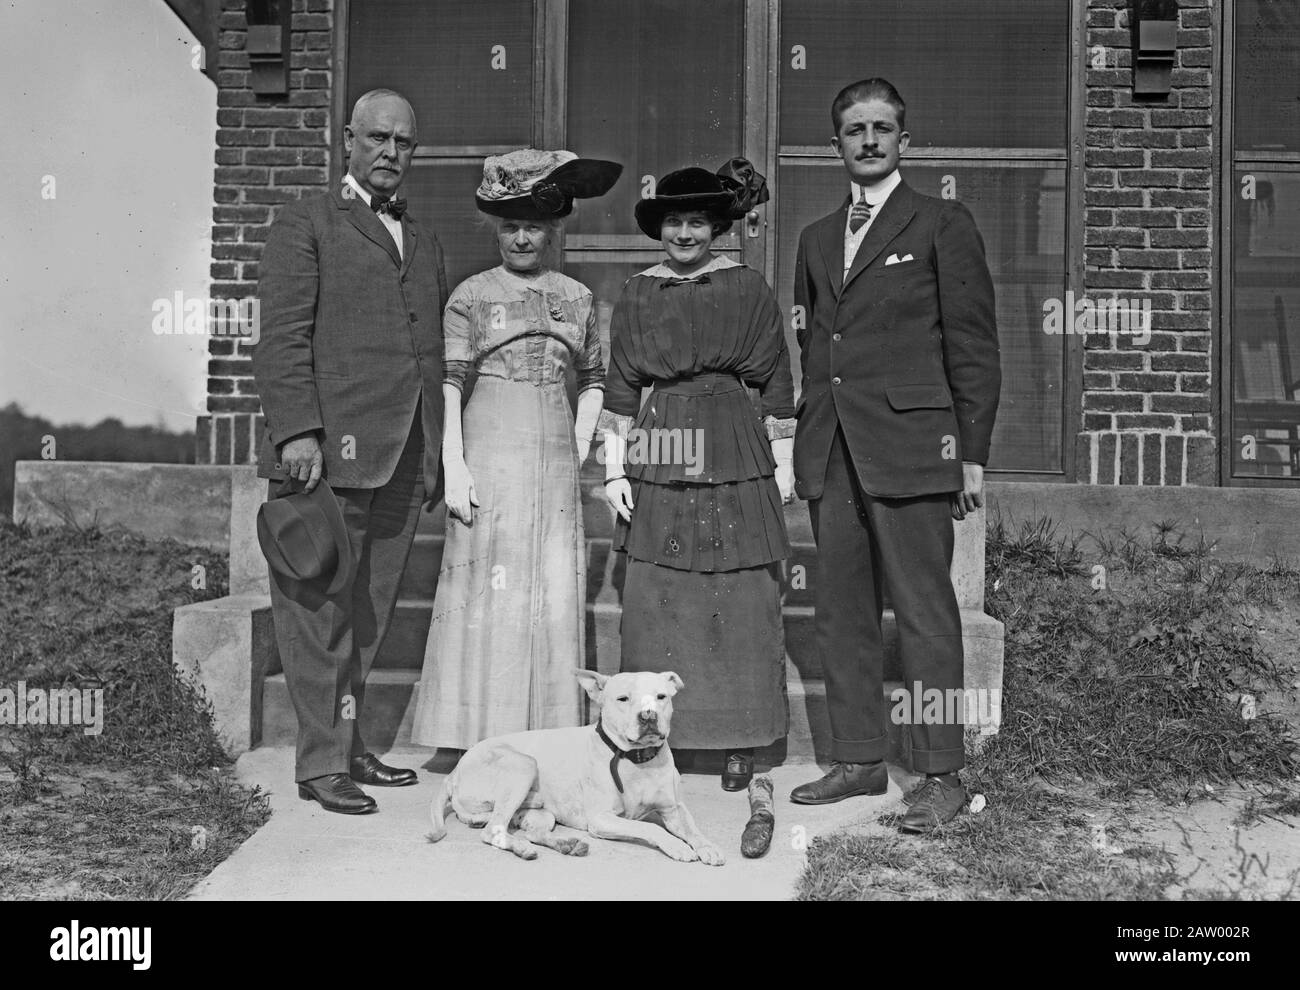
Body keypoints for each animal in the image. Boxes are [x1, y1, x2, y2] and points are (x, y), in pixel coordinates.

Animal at [431, 662, 728, 862]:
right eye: (623, 699)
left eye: (661, 697)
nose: (648, 716)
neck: (637, 760)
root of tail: (454, 773)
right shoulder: (602, 819)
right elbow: (647, 826)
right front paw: (678, 846)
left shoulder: (674, 809)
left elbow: (693, 829)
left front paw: (707, 846)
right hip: (523, 763)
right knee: (492, 830)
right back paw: (525, 848)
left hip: (541, 813)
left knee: (528, 831)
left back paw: (564, 845)